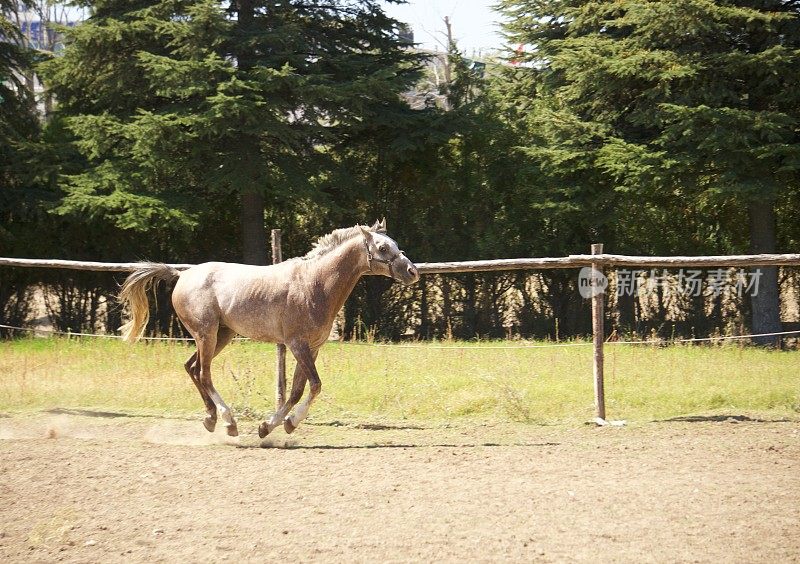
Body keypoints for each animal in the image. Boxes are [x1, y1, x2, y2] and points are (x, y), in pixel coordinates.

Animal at [120, 219, 418, 436]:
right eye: (382, 248)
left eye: (396, 244)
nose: (412, 272)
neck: (315, 284)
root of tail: (182, 275)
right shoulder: (297, 344)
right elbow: (311, 386)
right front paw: (278, 424)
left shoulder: (313, 348)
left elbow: (301, 389)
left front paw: (277, 425)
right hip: (206, 334)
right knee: (204, 374)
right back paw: (229, 422)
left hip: (221, 335)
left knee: (191, 368)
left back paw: (211, 419)